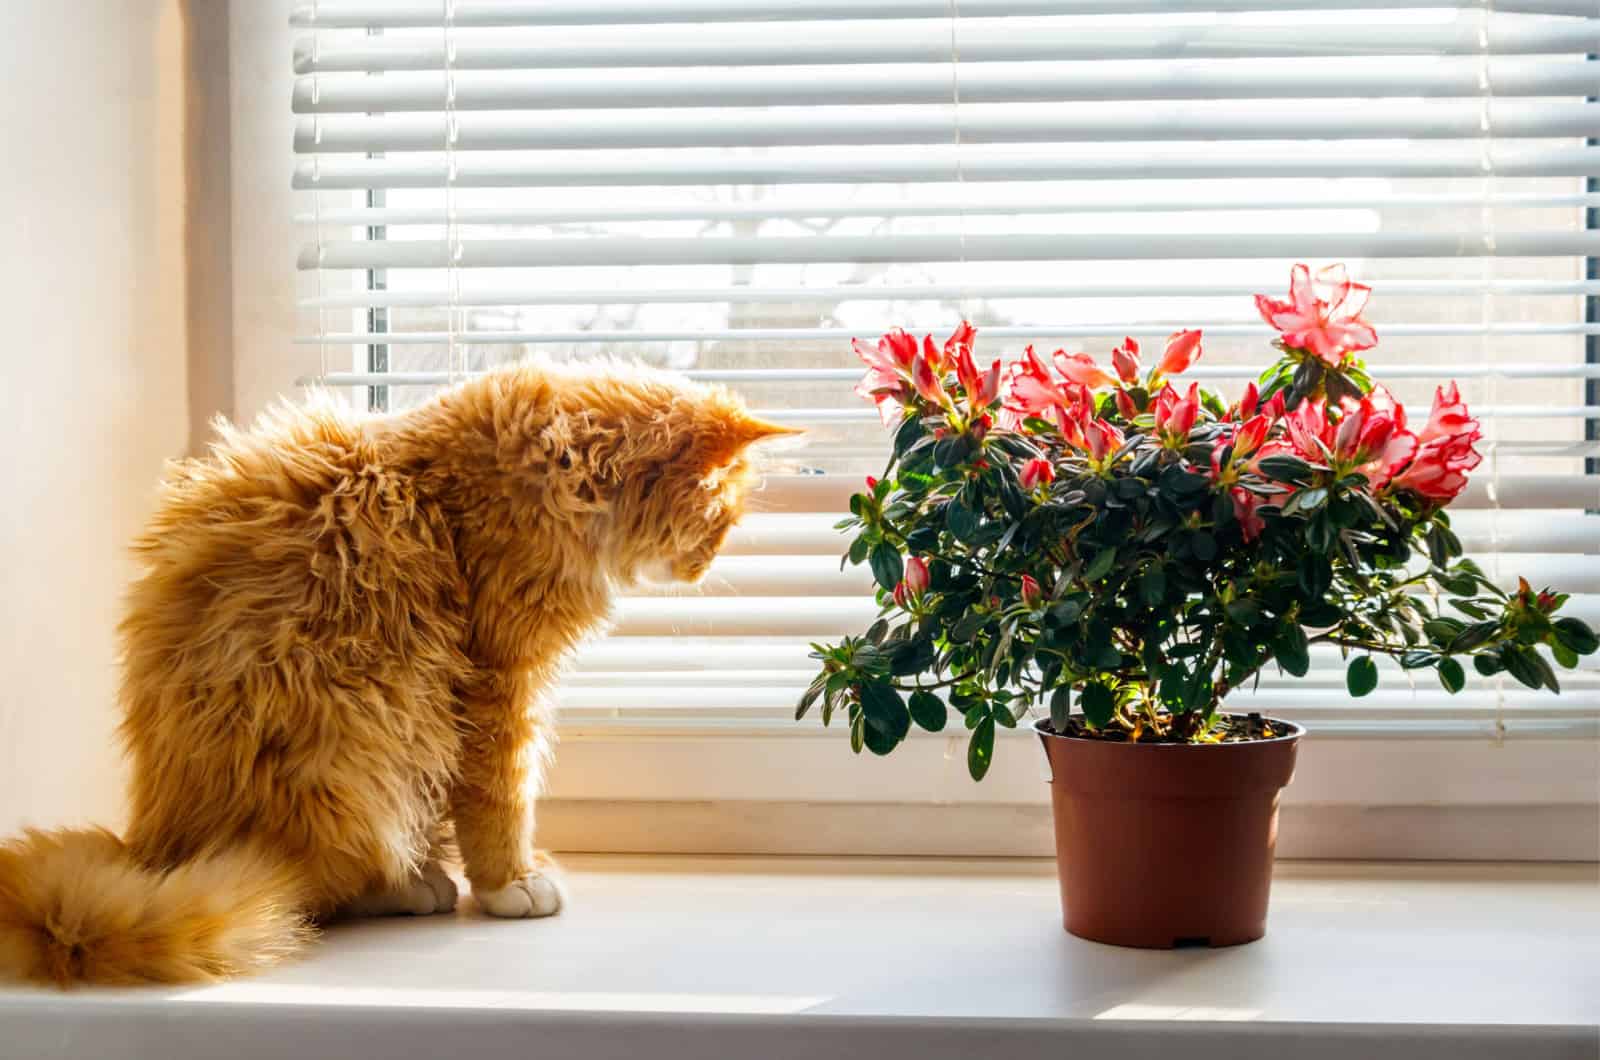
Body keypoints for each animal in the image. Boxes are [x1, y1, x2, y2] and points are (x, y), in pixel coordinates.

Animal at [0, 363, 787, 986]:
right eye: (723, 516)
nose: (706, 568)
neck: (553, 472)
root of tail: (154, 848)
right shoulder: (500, 682)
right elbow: (503, 797)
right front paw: (511, 883)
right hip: (359, 750)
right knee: (315, 889)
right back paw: (408, 887)